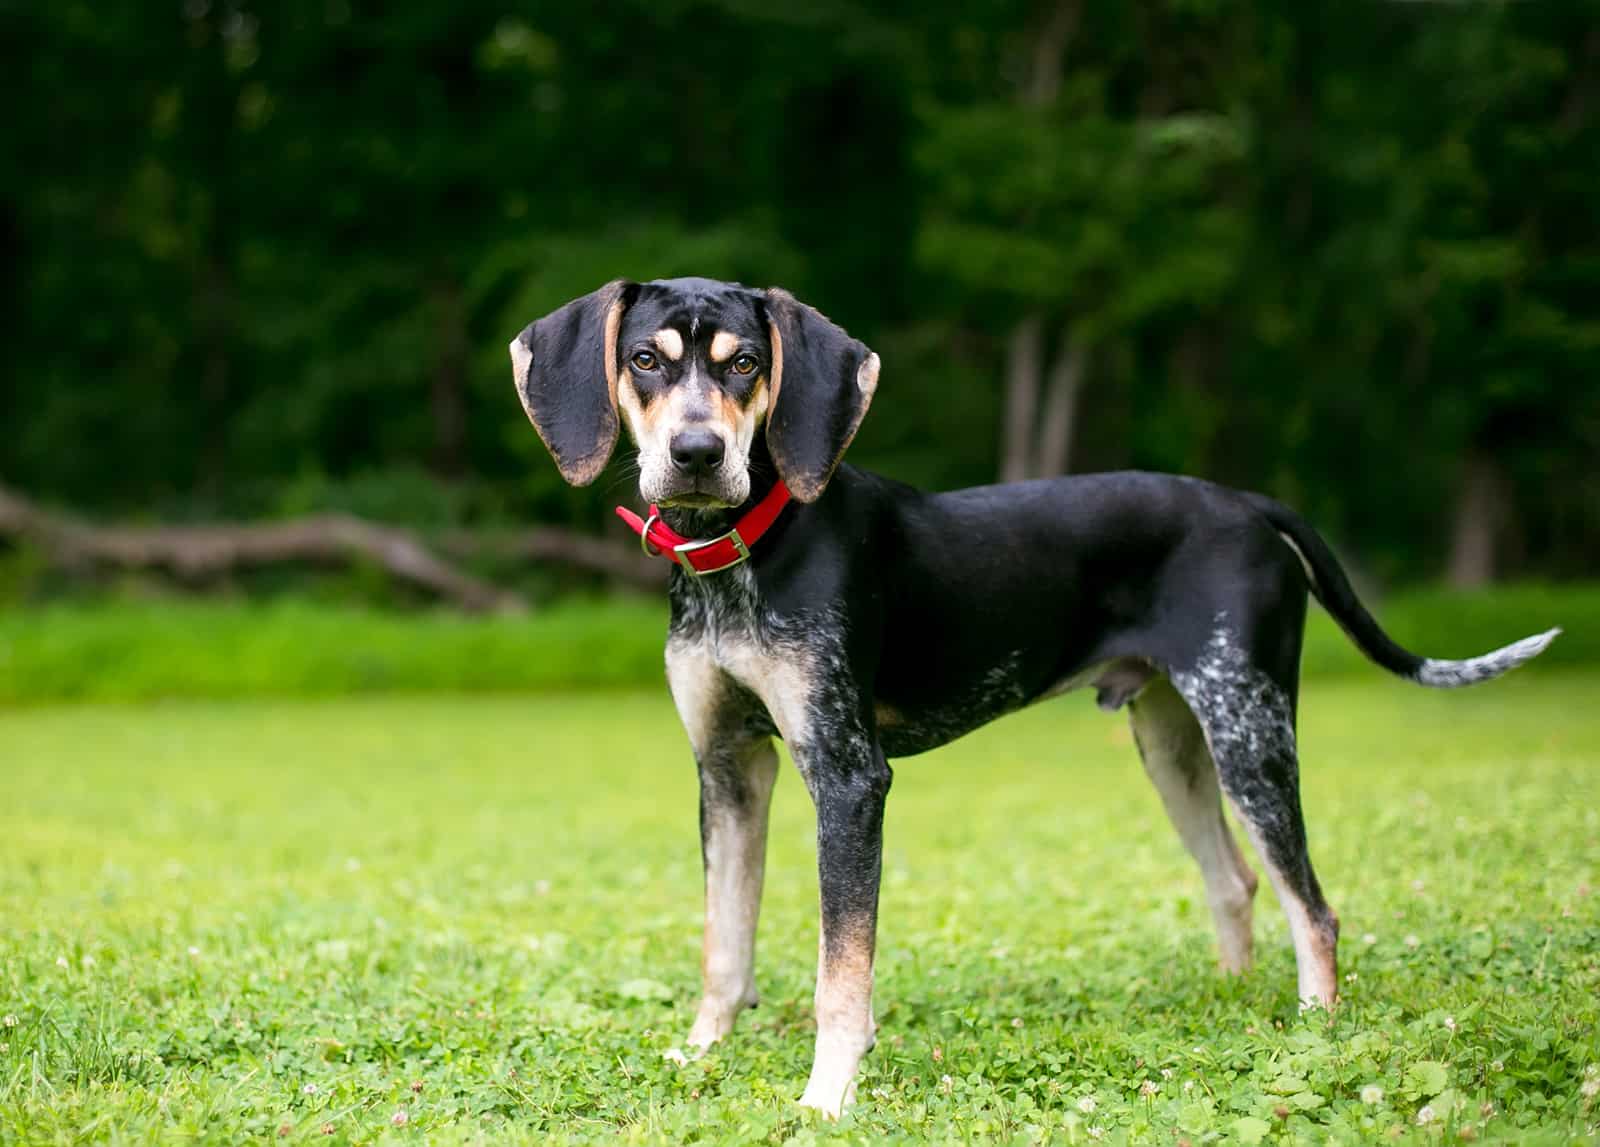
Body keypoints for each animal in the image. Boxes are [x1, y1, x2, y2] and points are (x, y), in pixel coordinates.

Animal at [512, 273, 1561, 1113]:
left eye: (744, 367)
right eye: (645, 359)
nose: (695, 453)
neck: (745, 552)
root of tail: (1246, 504)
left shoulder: (848, 777)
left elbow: (840, 972)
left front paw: (825, 1097)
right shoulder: (728, 767)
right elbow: (724, 944)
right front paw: (701, 1054)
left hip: (1252, 732)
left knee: (1316, 907)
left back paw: (1312, 1028)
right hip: (1175, 740)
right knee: (1235, 880)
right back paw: (1232, 1003)